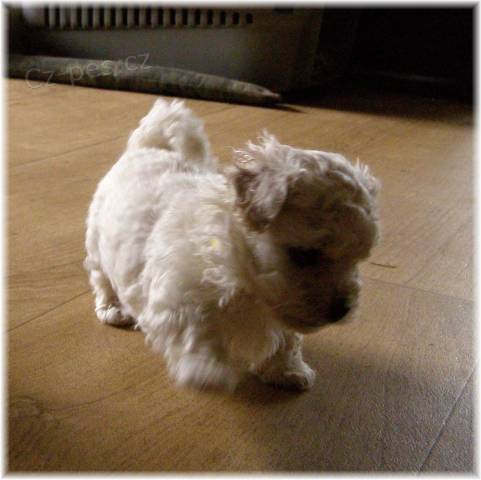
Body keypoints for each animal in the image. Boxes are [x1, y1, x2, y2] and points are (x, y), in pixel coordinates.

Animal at [85, 99, 380, 392]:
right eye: (304, 255)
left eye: (357, 260)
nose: (342, 310)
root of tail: (147, 147)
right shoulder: (178, 295)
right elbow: (195, 330)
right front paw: (206, 370)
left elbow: (287, 339)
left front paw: (287, 370)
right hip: (97, 240)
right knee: (101, 279)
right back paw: (113, 308)